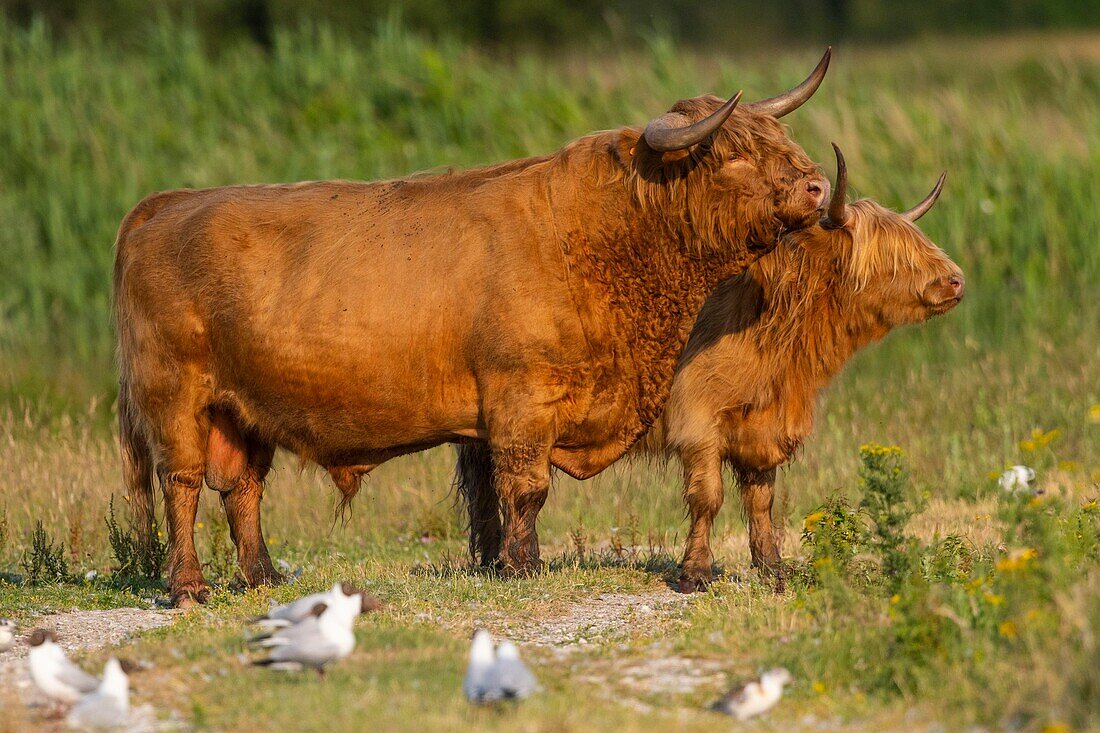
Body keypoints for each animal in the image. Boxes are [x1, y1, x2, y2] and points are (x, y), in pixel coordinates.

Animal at [113, 54, 831, 603]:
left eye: (781, 139)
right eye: (733, 154)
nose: (818, 186)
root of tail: (167, 203)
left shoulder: (491, 419)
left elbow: (489, 497)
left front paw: (494, 562)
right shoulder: (522, 401)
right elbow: (526, 489)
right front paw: (524, 566)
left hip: (242, 411)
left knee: (243, 488)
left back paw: (262, 577)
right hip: (176, 397)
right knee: (181, 485)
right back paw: (188, 585)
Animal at [455, 143, 963, 589]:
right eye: (890, 256)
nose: (956, 280)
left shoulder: (762, 427)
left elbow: (761, 501)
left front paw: (772, 570)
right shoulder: (698, 422)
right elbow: (708, 497)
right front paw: (695, 572)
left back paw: (492, 559)